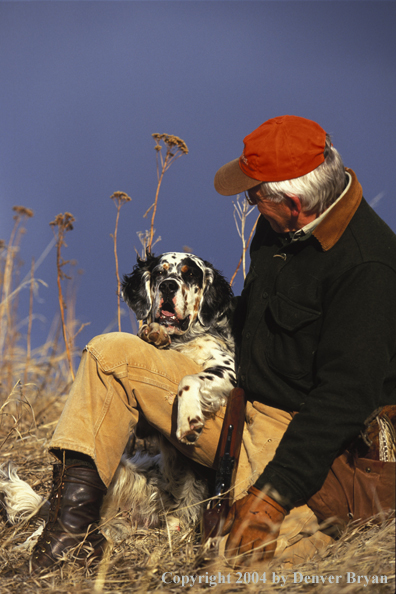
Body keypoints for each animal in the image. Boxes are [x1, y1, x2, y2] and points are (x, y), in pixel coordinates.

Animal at [0, 250, 235, 540]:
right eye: (160, 272)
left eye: (190, 274)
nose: (168, 286)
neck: (184, 341)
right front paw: (154, 333)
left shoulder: (228, 367)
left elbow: (188, 379)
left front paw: (188, 420)